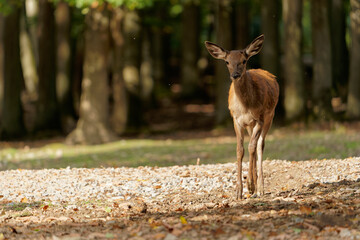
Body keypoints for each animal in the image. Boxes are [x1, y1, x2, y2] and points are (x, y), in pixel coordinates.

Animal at [204, 34, 280, 199]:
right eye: (227, 62)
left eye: (244, 61)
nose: (235, 75)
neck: (245, 107)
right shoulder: (236, 120)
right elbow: (240, 150)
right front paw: (238, 191)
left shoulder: (259, 118)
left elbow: (252, 147)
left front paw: (250, 185)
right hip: (250, 125)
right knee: (254, 144)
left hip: (269, 116)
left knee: (259, 145)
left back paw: (259, 187)